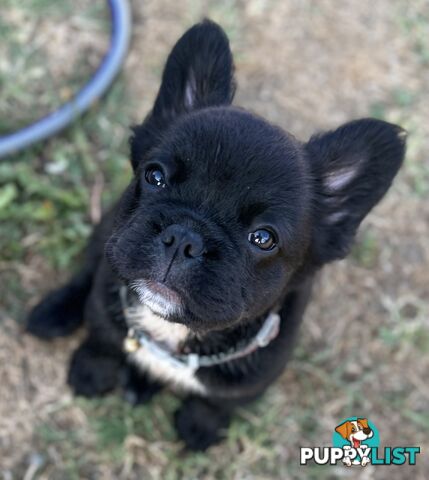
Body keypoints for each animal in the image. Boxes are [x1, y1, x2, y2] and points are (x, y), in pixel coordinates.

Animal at [26, 20, 404, 450]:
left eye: (263, 238)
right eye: (154, 176)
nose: (184, 238)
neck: (174, 336)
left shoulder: (253, 377)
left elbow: (218, 401)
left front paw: (200, 427)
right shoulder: (108, 307)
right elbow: (103, 339)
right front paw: (91, 371)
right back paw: (53, 312)